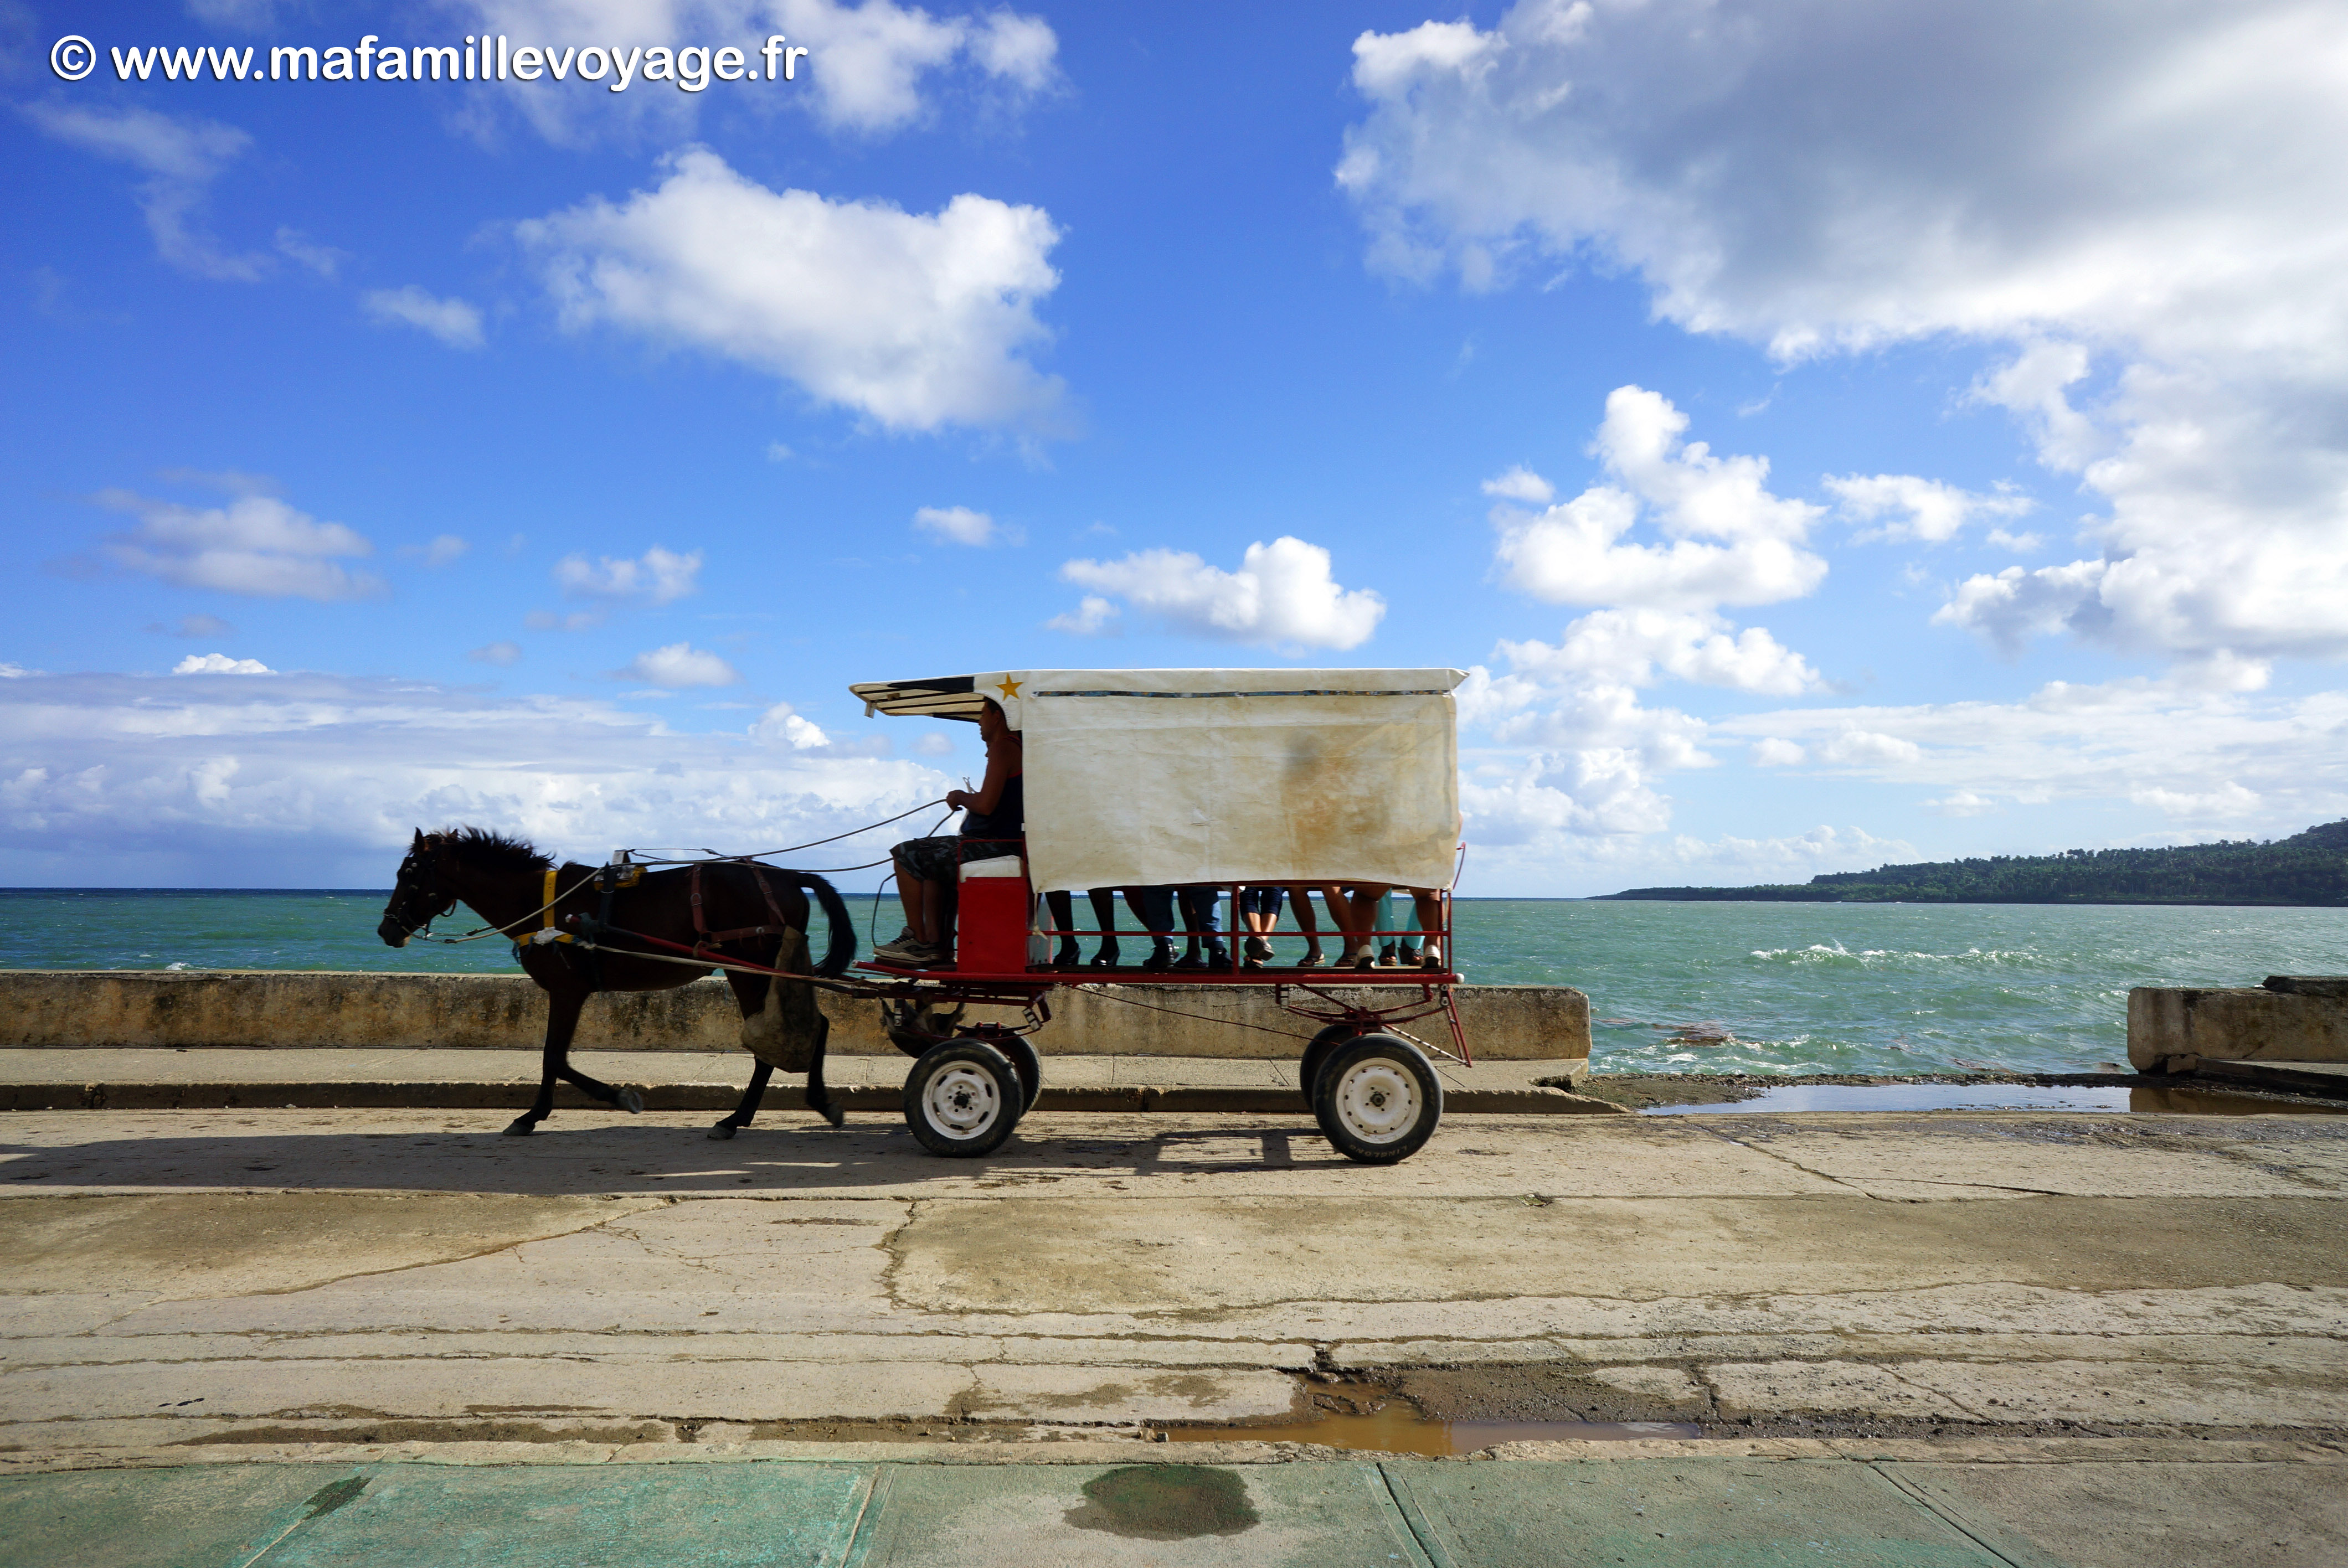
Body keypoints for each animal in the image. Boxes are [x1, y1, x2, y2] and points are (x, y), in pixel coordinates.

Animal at [380, 831, 859, 1141]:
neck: (544, 906)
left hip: (750, 967)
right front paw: (546, 1111)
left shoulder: (567, 989)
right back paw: (803, 1104)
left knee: (778, 1040)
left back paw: (737, 1119)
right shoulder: (569, 992)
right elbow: (555, 1058)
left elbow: (554, 1057)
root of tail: (790, 875)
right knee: (814, 1027)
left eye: (409, 873)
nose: (387, 929)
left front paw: (596, 1100)